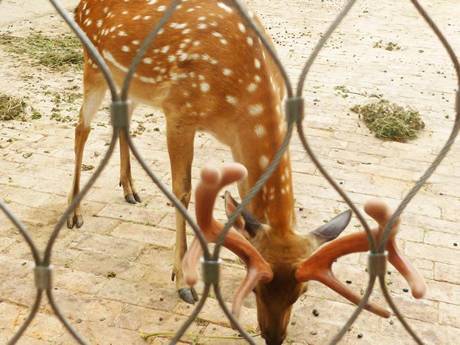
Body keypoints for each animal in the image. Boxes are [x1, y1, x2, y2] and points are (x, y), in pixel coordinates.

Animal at [72, 1, 428, 342]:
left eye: (301, 292)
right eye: (256, 288)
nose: (273, 336)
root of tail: (80, 7)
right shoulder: (179, 112)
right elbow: (182, 192)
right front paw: (182, 281)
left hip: (129, 82)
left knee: (121, 120)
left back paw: (129, 189)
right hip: (93, 64)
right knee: (81, 128)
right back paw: (75, 214)